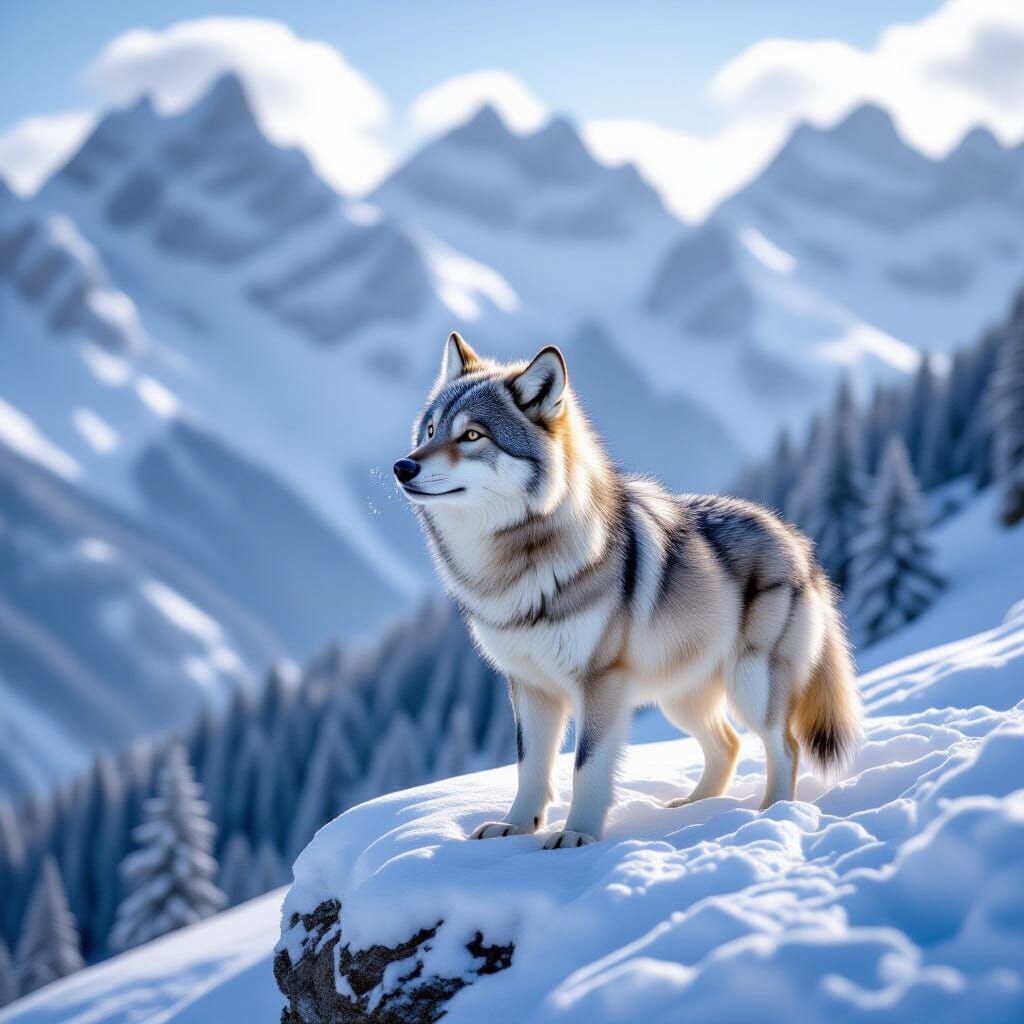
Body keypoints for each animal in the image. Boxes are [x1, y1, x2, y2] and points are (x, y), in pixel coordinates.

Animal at [395, 332, 862, 849]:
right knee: (728, 745)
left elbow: (586, 767)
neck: (518, 564)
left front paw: (577, 836)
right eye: (430, 430)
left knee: (785, 747)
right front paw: (515, 828)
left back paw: (766, 814)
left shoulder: (601, 683)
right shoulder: (530, 687)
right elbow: (529, 768)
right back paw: (694, 809)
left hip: (751, 688)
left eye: (472, 436)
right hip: (681, 698)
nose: (402, 466)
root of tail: (795, 538)